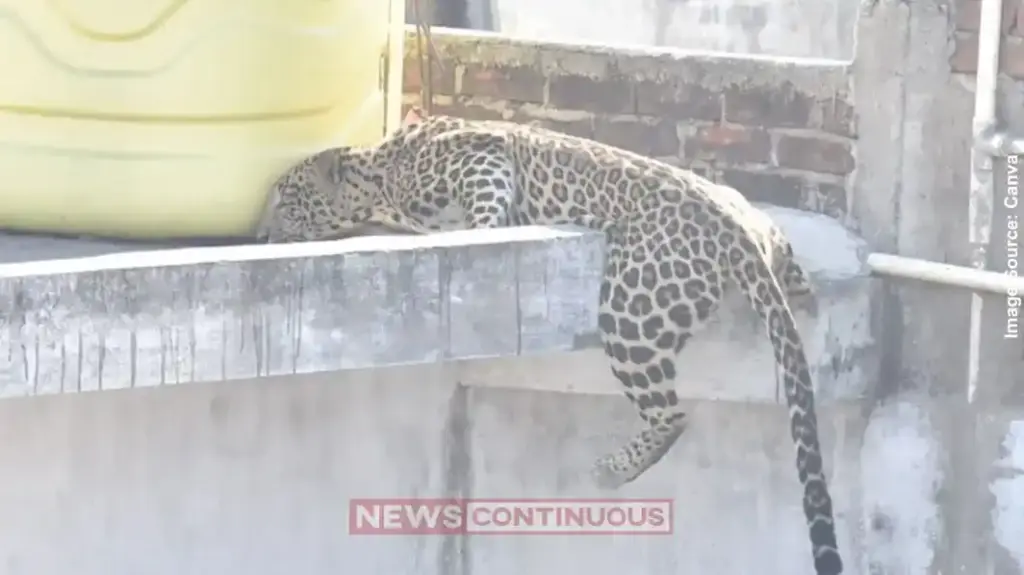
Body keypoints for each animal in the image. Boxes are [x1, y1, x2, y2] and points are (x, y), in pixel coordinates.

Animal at [255, 111, 843, 575]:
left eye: (285, 197)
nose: (258, 233)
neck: (378, 176)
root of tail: (737, 229)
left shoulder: (483, 158)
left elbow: (483, 214)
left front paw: (468, 231)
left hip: (629, 309)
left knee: (673, 414)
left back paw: (612, 471)